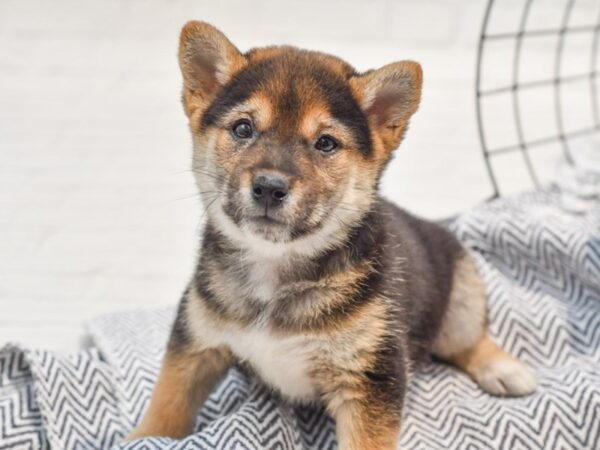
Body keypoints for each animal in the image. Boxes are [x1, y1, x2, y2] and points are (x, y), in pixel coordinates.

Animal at [125, 22, 536, 450]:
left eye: (325, 143)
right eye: (243, 128)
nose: (269, 187)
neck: (274, 271)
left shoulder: (369, 376)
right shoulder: (195, 341)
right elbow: (166, 404)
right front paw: (142, 435)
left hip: (461, 298)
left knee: (470, 340)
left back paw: (503, 368)